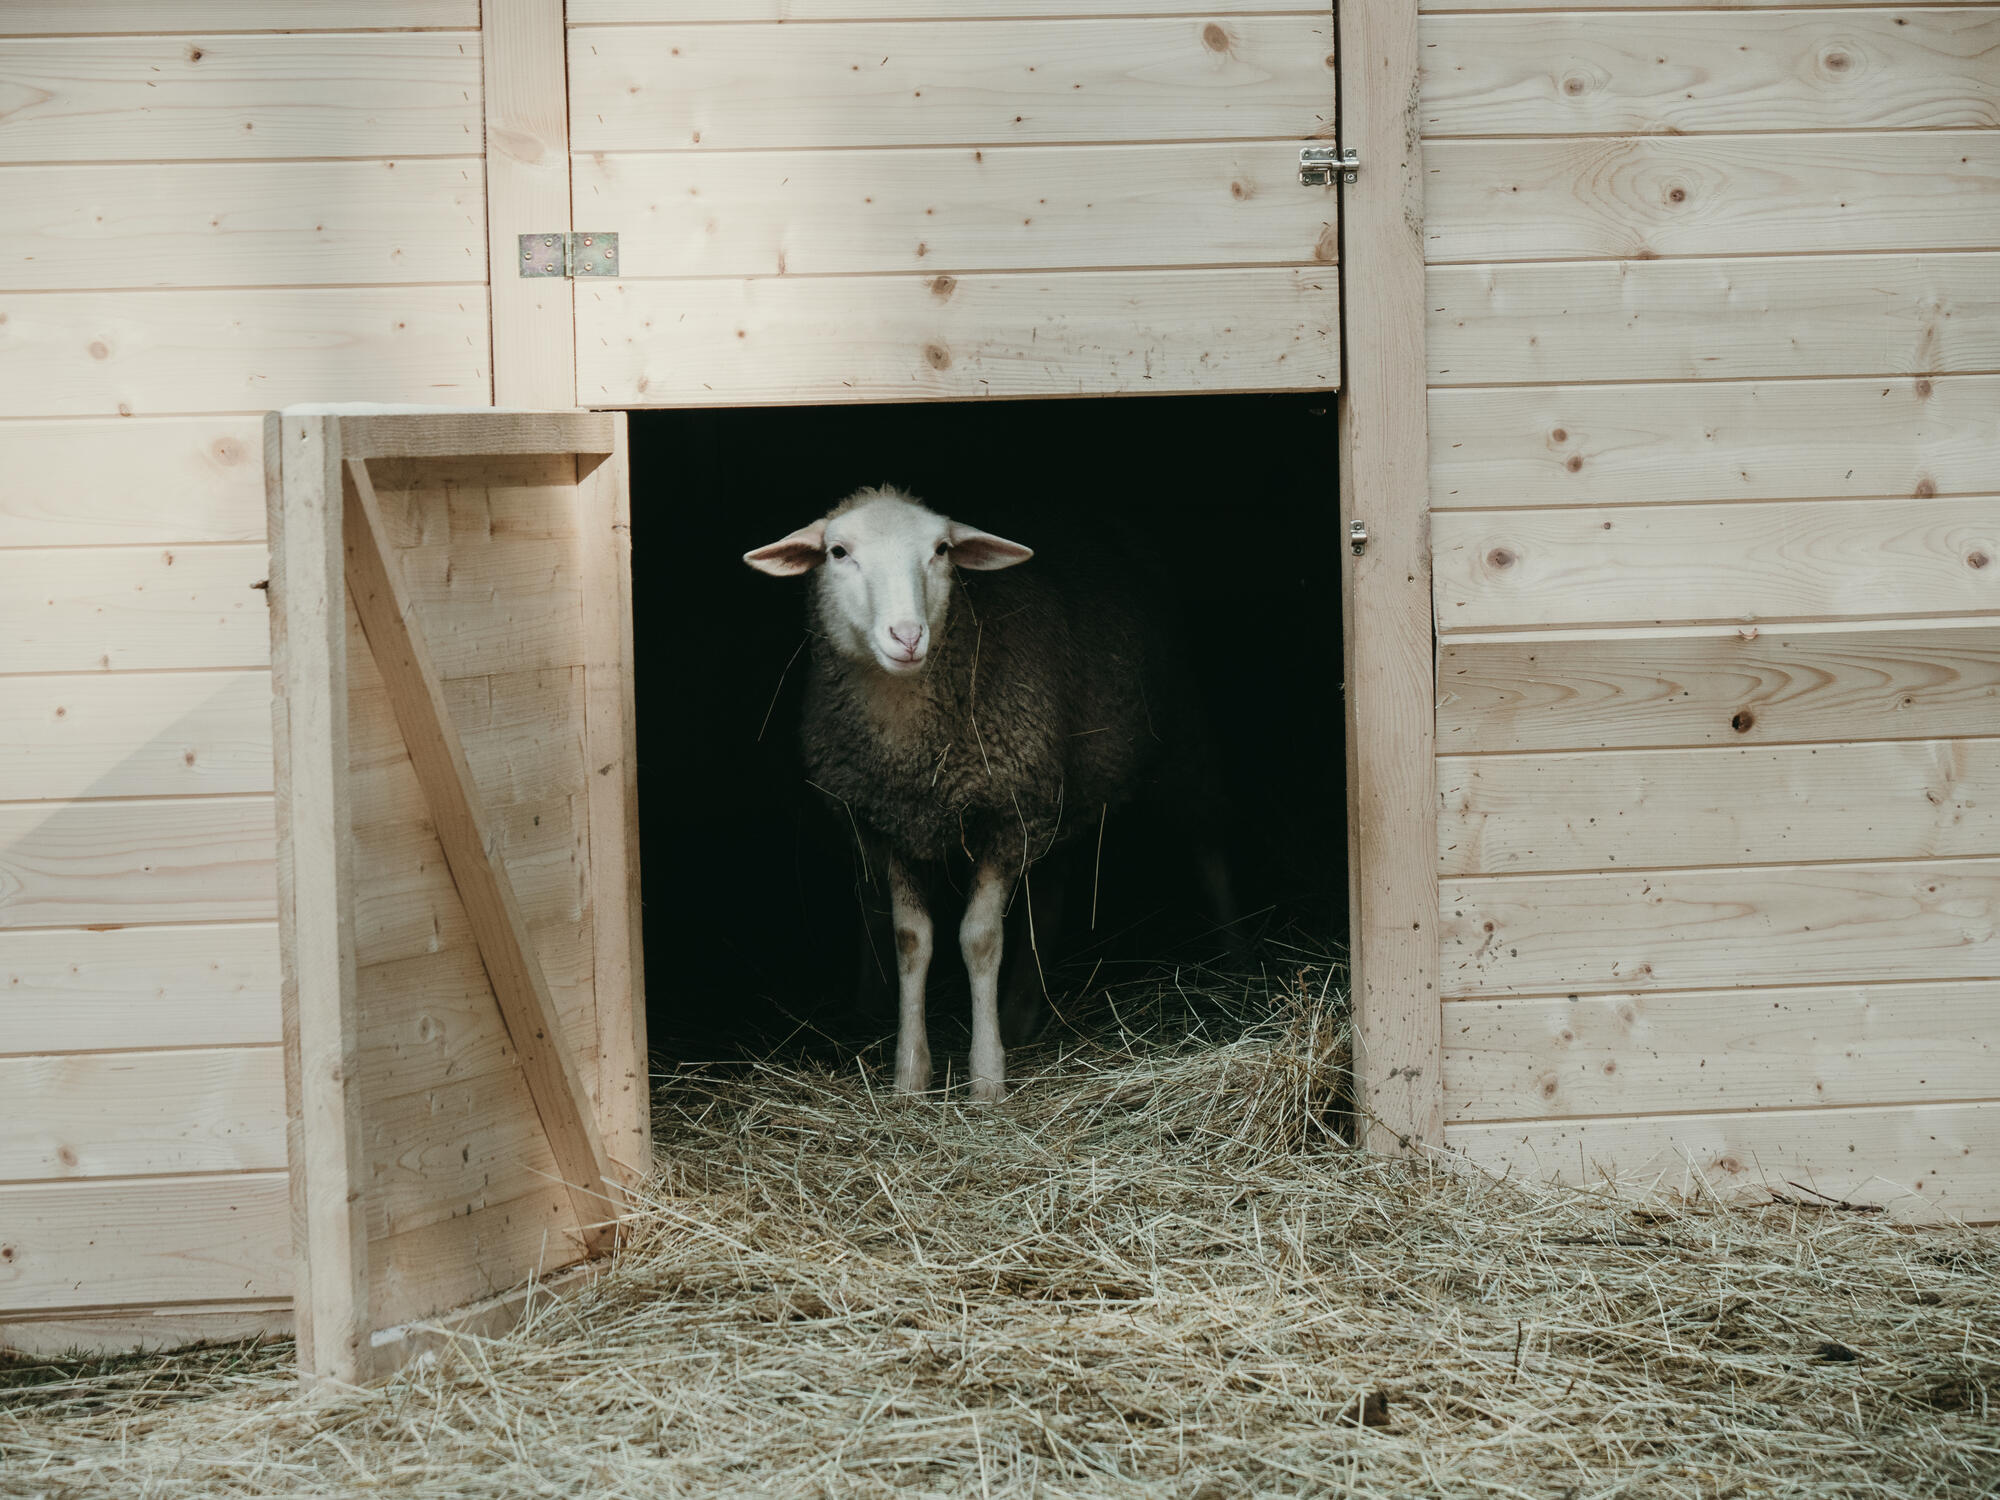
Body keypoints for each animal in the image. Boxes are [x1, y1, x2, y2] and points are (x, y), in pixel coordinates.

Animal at [744, 488, 1224, 1096]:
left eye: (942, 550)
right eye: (838, 552)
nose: (907, 636)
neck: (912, 748)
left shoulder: (1007, 817)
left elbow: (979, 939)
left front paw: (987, 1078)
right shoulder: (889, 825)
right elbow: (911, 940)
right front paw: (910, 1077)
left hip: (1181, 744)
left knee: (1209, 852)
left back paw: (1241, 963)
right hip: (1058, 795)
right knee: (1049, 899)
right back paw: (1021, 1015)